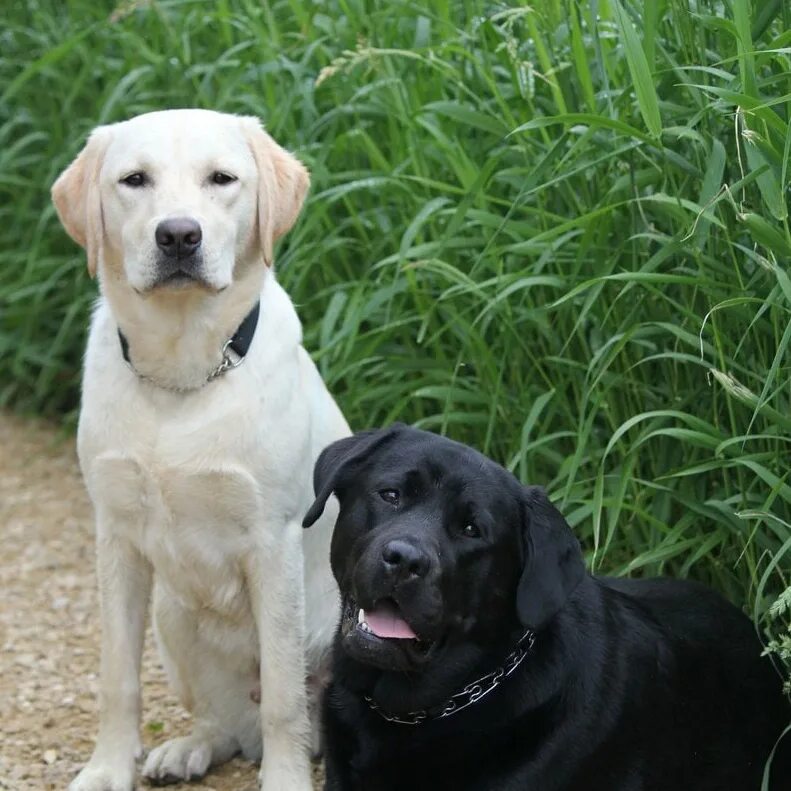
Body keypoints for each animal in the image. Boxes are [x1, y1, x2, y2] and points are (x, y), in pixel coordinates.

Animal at [49, 111, 346, 791]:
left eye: (222, 179)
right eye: (134, 180)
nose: (179, 235)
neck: (182, 376)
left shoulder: (273, 542)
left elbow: (285, 697)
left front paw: (286, 780)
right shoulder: (116, 538)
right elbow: (117, 678)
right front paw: (109, 767)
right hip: (172, 616)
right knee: (226, 726)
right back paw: (187, 749)